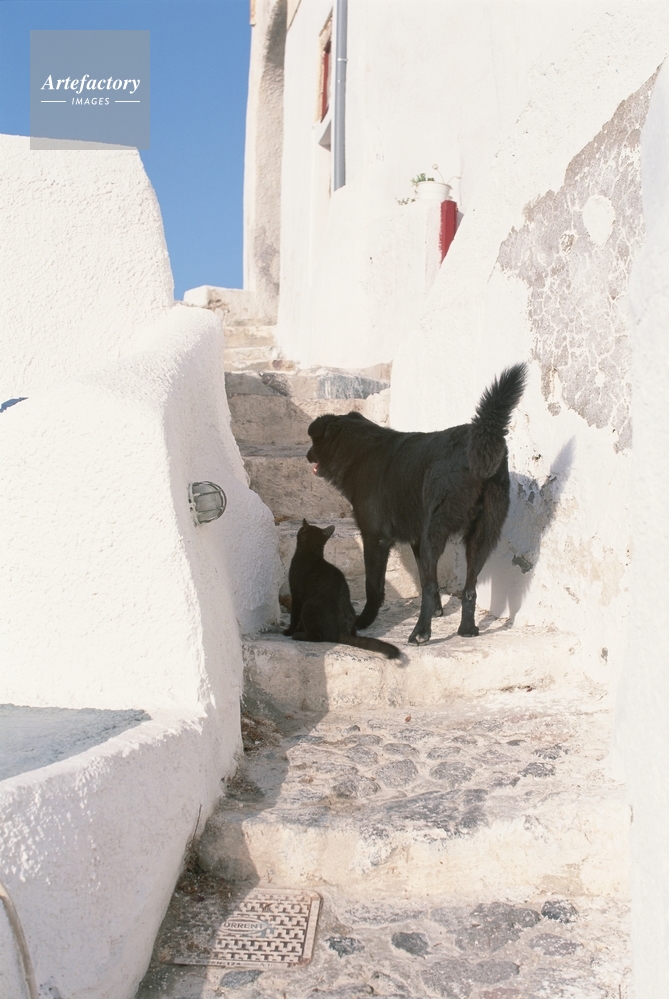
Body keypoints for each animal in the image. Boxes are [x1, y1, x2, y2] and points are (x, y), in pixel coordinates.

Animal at [283, 520, 400, 659]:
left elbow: (294, 616)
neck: (310, 553)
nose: (300, 529)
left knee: (317, 637)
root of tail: (342, 631)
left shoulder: (297, 596)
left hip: (309, 606)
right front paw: (298, 629)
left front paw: (290, 631)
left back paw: (298, 635)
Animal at [306, 364, 527, 644]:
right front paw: (438, 610)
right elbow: (424, 578)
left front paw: (363, 621)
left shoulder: (376, 538)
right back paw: (466, 628)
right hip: (481, 536)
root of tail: (477, 442)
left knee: (433, 586)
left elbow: (376, 587)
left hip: (436, 532)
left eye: (314, 442)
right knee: (469, 589)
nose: (306, 455)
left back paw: (421, 632)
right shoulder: (417, 539)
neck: (359, 452)